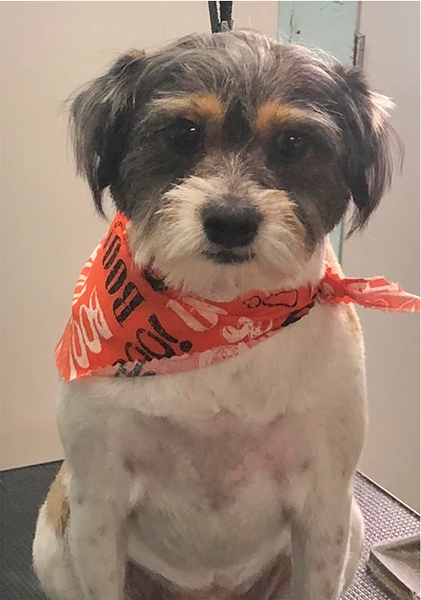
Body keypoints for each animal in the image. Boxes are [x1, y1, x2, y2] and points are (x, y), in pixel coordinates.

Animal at [32, 29, 394, 600]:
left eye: (294, 142)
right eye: (183, 133)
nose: (230, 220)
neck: (219, 313)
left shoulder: (325, 505)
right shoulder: (98, 501)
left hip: (352, 526)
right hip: (53, 537)